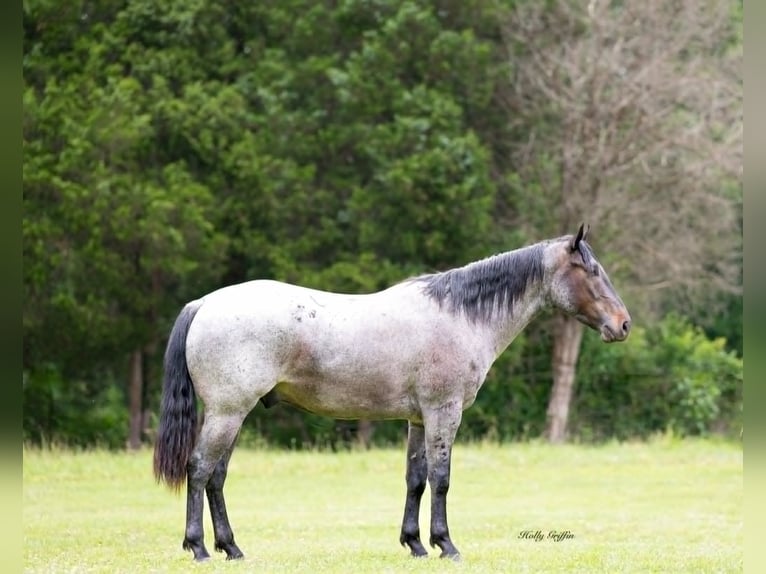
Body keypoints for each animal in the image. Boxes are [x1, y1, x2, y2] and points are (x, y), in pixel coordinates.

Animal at [153, 223, 631, 561]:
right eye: (592, 271)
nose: (623, 324)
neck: (460, 315)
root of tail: (205, 304)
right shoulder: (443, 413)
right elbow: (441, 479)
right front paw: (446, 544)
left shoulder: (418, 418)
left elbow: (415, 479)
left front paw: (415, 544)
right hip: (228, 412)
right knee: (199, 469)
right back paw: (199, 548)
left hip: (233, 415)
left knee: (216, 477)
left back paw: (231, 548)